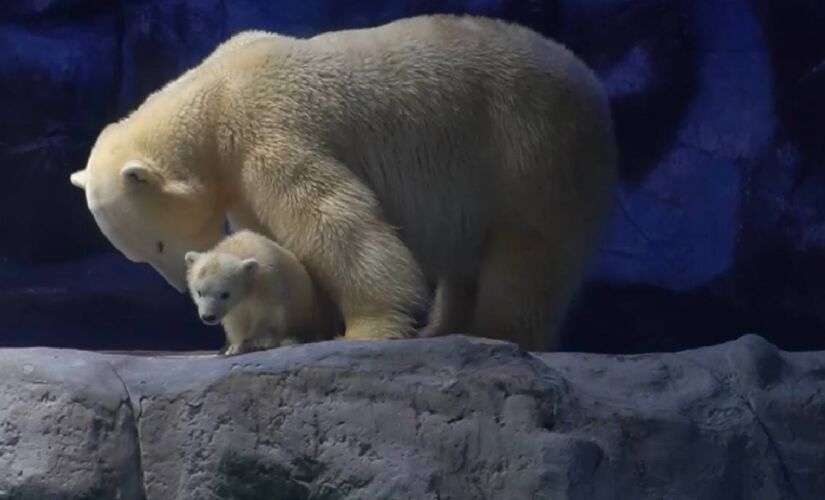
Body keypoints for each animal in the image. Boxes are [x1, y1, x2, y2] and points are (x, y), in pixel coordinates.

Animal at [185, 229, 340, 354]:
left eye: (225, 294)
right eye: (199, 292)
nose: (208, 316)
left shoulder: (267, 284)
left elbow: (267, 315)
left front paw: (255, 343)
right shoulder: (237, 306)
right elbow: (236, 320)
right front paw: (234, 347)